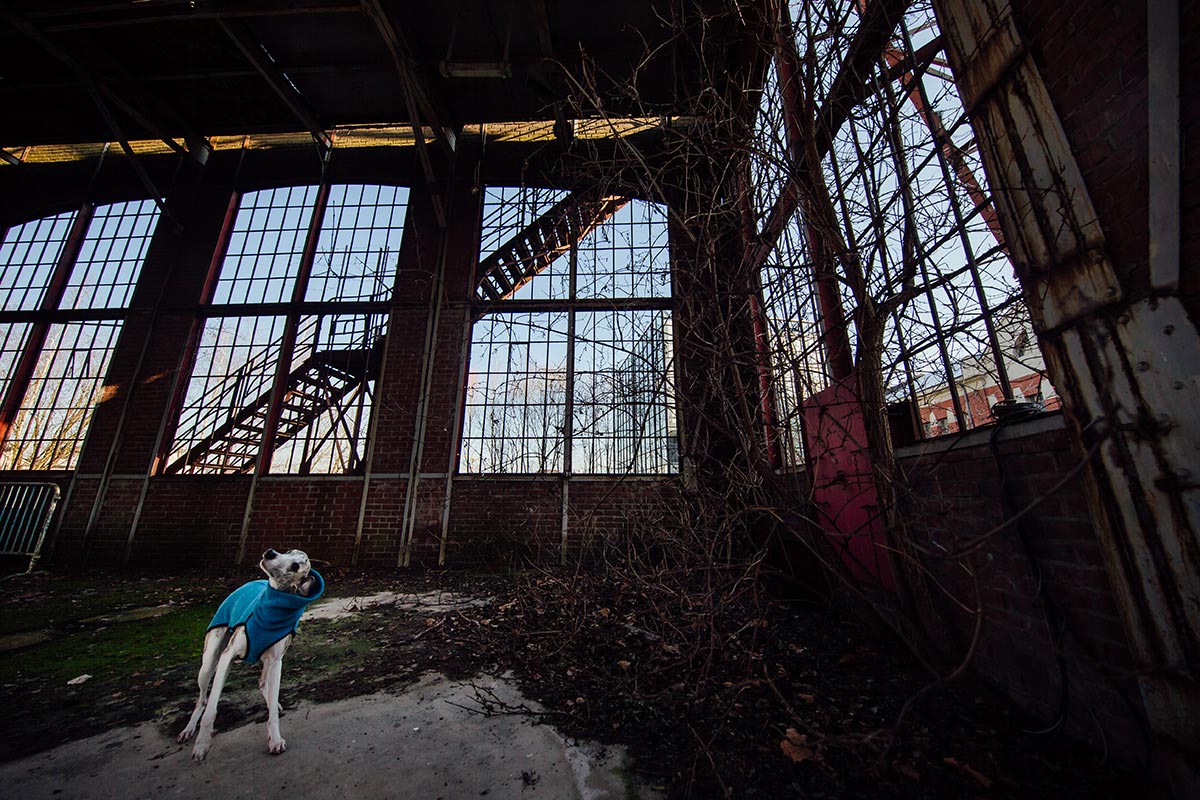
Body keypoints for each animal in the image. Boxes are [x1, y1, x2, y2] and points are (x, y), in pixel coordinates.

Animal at [176, 551, 324, 762]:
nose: (270, 552)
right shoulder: (227, 657)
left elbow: (272, 712)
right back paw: (188, 730)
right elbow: (211, 709)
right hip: (208, 663)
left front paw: (275, 739)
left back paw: (273, 702)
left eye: (296, 566)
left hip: (268, 663)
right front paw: (202, 745)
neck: (271, 612)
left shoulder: (276, 662)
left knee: (262, 683)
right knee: (202, 700)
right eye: (288, 551)